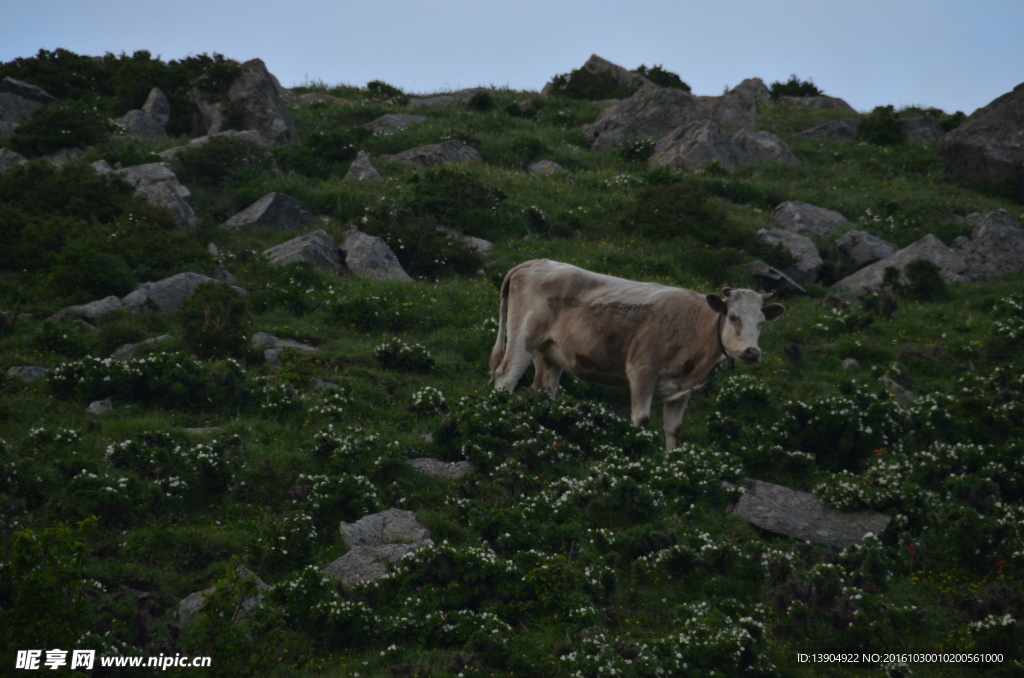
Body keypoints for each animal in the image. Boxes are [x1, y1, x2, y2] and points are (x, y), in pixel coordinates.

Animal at [487, 259, 782, 450]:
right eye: (733, 317)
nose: (752, 352)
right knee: (506, 377)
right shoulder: (642, 371)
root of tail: (536, 262)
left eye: (761, 323)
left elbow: (673, 429)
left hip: (549, 352)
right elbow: (641, 420)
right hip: (523, 337)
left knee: (544, 388)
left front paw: (667, 463)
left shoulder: (682, 390)